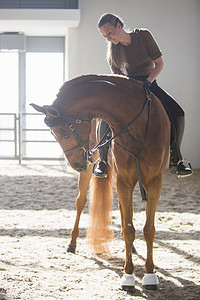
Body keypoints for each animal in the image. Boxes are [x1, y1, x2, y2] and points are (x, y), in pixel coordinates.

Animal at [31, 74, 170, 292]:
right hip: (95, 172)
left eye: (64, 133)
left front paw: (150, 275)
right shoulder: (124, 180)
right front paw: (128, 275)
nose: (78, 164)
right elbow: (128, 229)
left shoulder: (155, 182)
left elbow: (148, 230)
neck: (136, 124)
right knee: (80, 202)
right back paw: (72, 243)